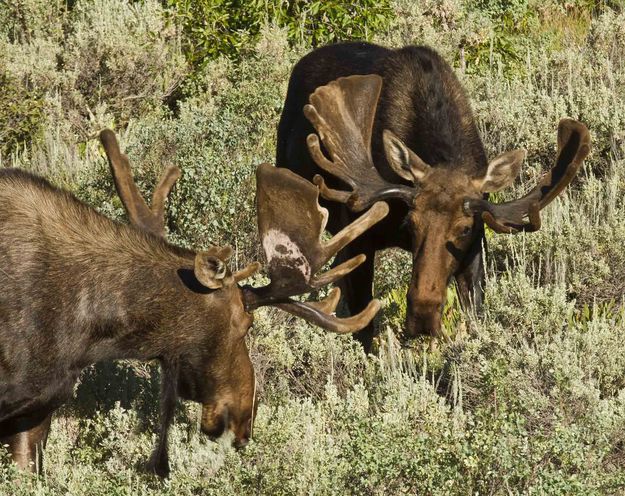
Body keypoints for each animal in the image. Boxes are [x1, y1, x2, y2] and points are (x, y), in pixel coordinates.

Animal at [276, 43, 588, 352]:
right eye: (410, 224)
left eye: (464, 229)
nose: (422, 316)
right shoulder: (360, 236)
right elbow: (363, 328)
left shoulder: (476, 243)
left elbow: (475, 314)